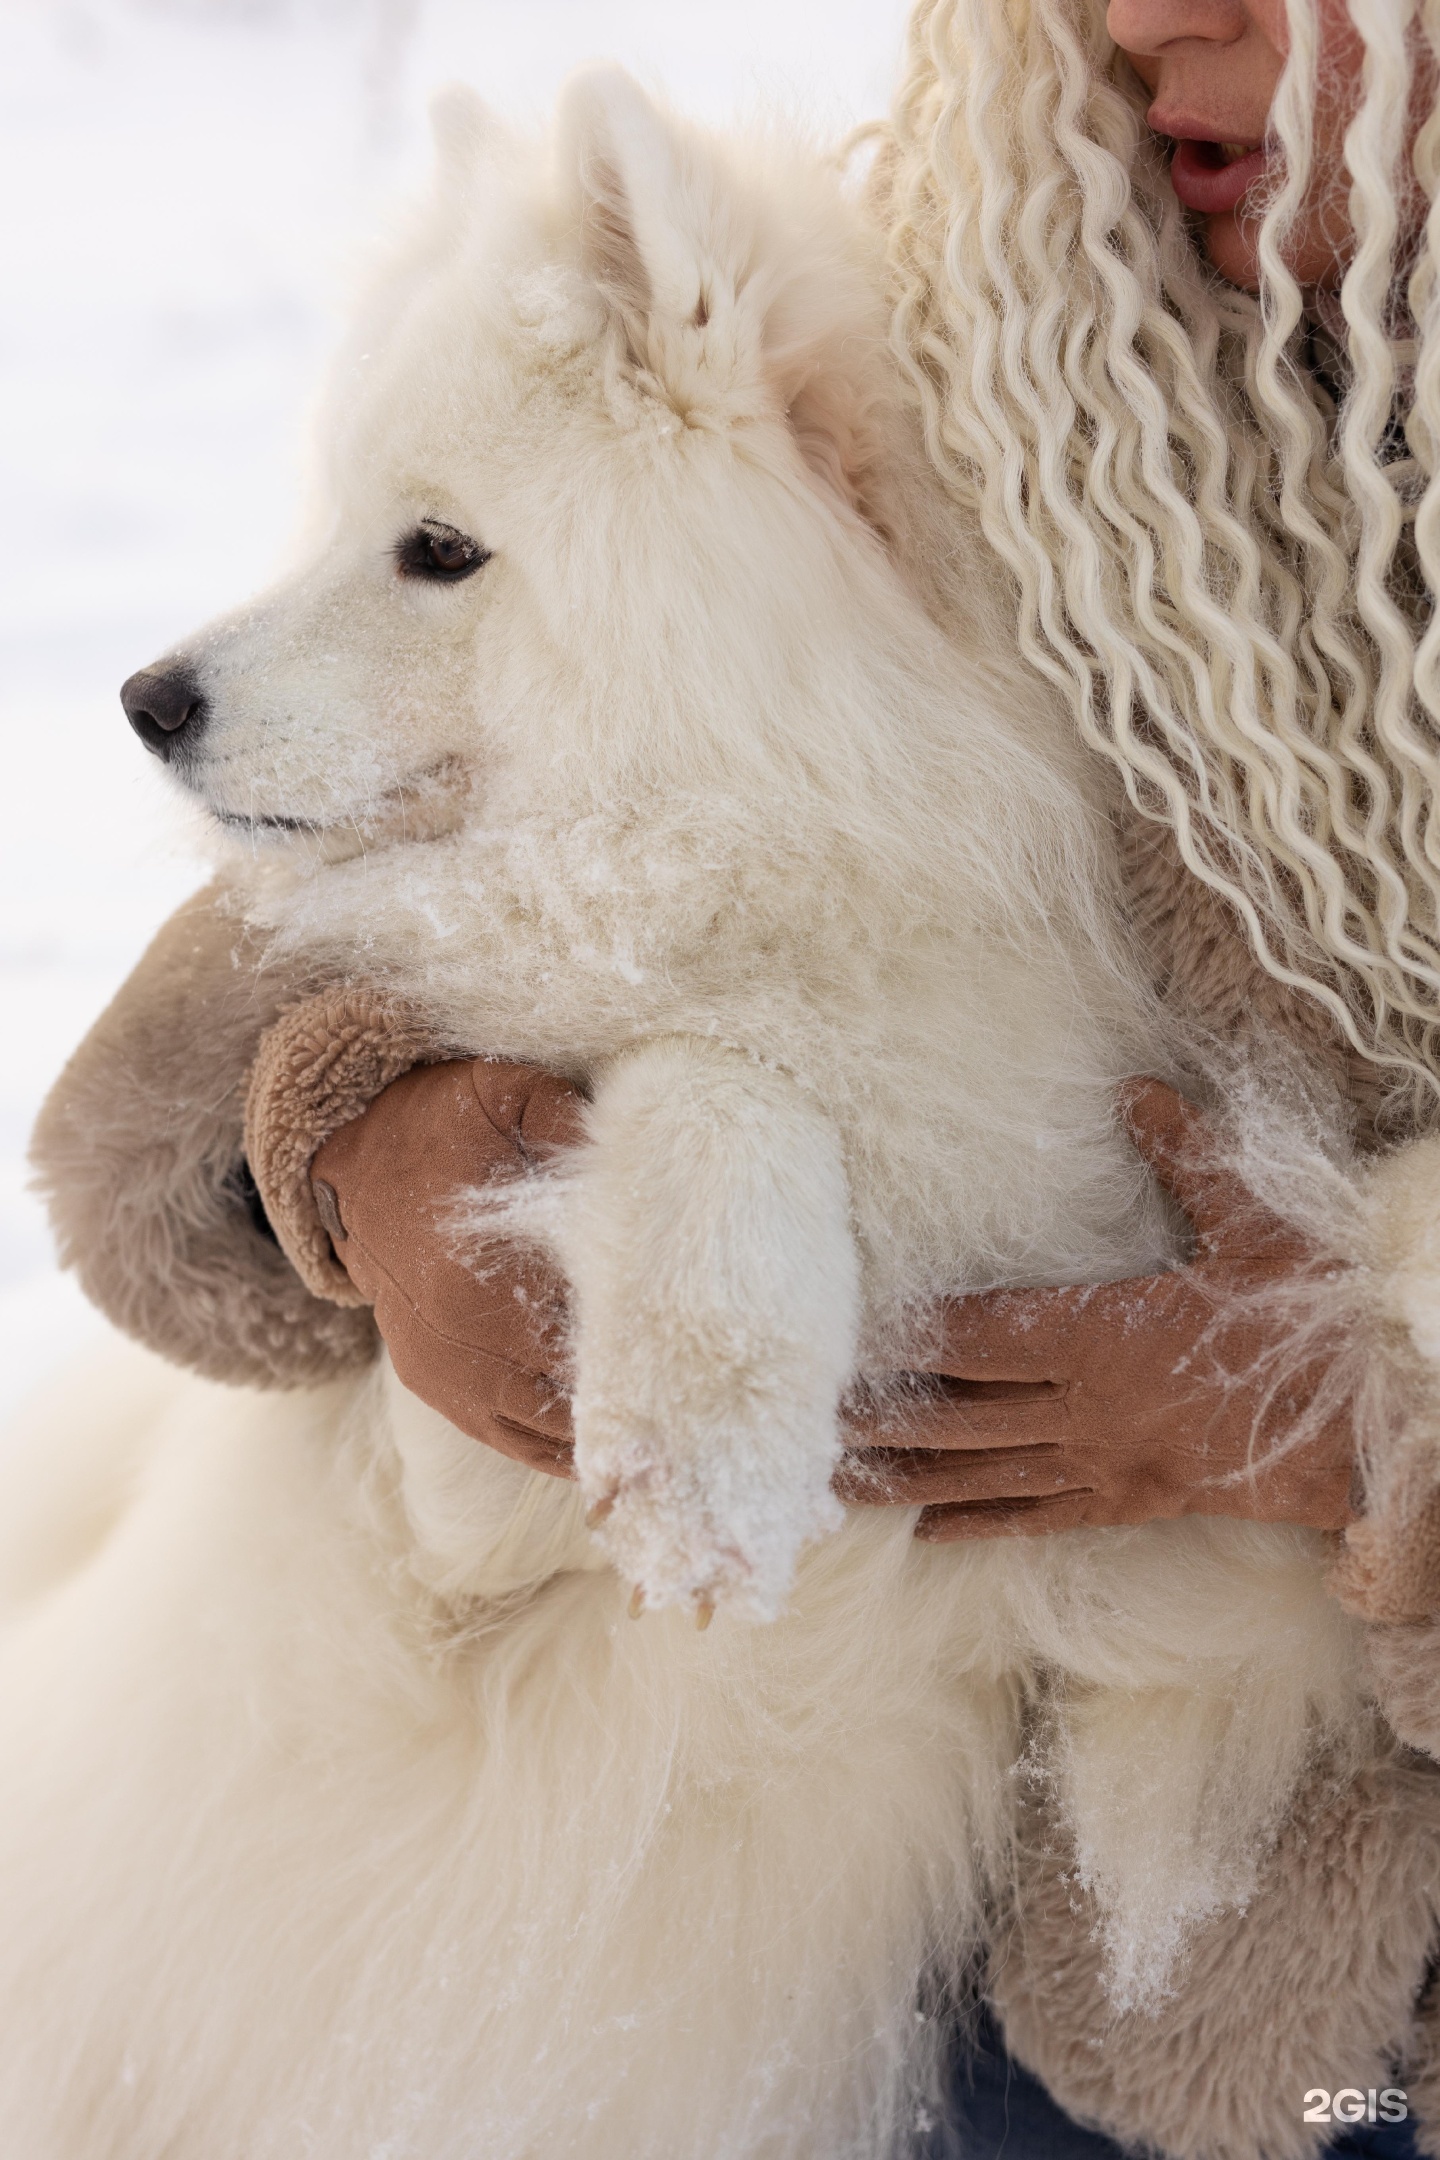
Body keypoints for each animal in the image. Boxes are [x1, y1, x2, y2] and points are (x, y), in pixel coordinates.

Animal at [0, 67, 1373, 2160]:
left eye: (439, 549)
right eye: (347, 514)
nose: (147, 698)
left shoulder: (1151, 1533)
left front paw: (709, 1437)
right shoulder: (440, 1509)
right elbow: (708, 1074)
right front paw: (710, 1436)